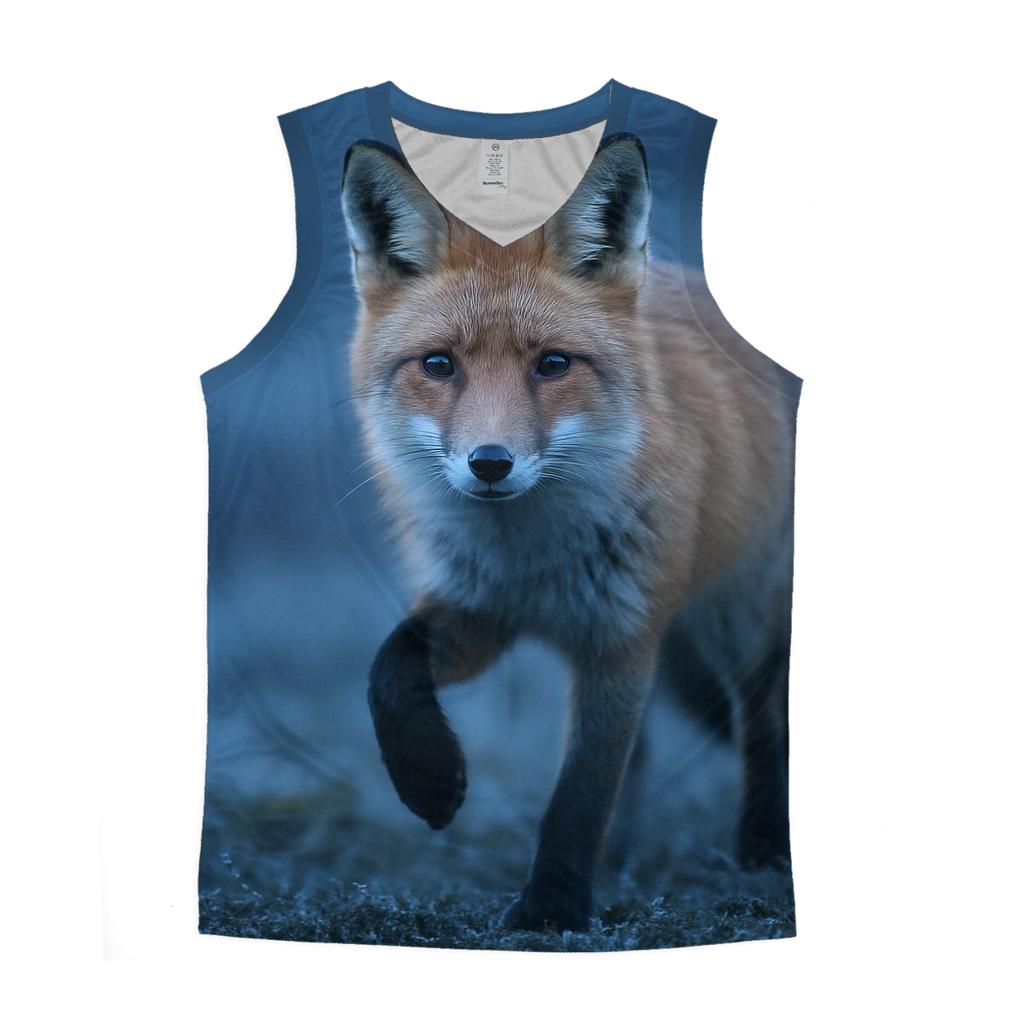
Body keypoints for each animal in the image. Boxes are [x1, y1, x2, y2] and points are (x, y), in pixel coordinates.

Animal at [340, 134, 797, 932]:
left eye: (552, 364)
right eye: (438, 365)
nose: (490, 463)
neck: (532, 556)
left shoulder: (621, 631)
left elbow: (580, 791)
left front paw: (549, 912)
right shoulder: (486, 610)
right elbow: (389, 670)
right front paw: (429, 779)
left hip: (740, 618)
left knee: (762, 717)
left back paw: (763, 852)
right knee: (642, 758)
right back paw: (621, 862)